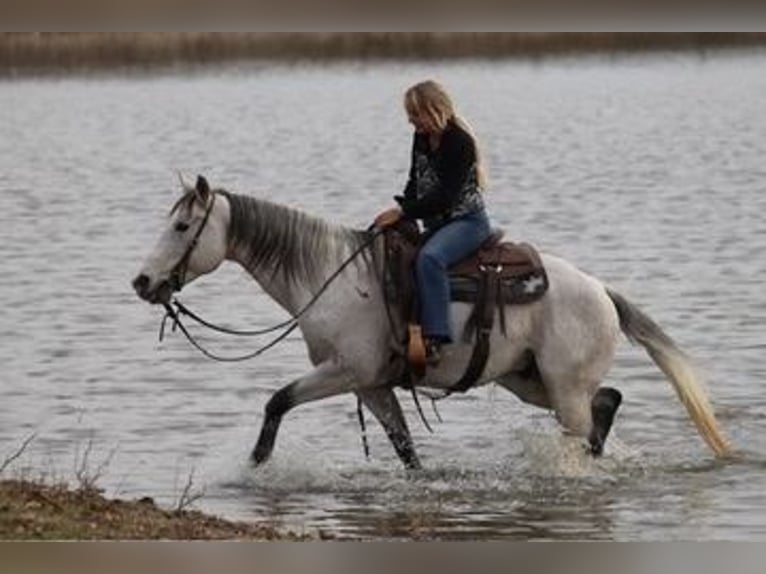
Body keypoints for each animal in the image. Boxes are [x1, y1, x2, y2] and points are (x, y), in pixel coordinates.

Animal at [132, 176, 731, 470]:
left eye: (182, 226)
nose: (142, 282)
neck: (331, 274)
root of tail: (601, 291)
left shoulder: (345, 372)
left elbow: (276, 401)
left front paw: (254, 470)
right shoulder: (372, 385)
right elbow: (405, 449)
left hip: (563, 390)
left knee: (589, 423)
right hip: (528, 380)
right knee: (608, 401)